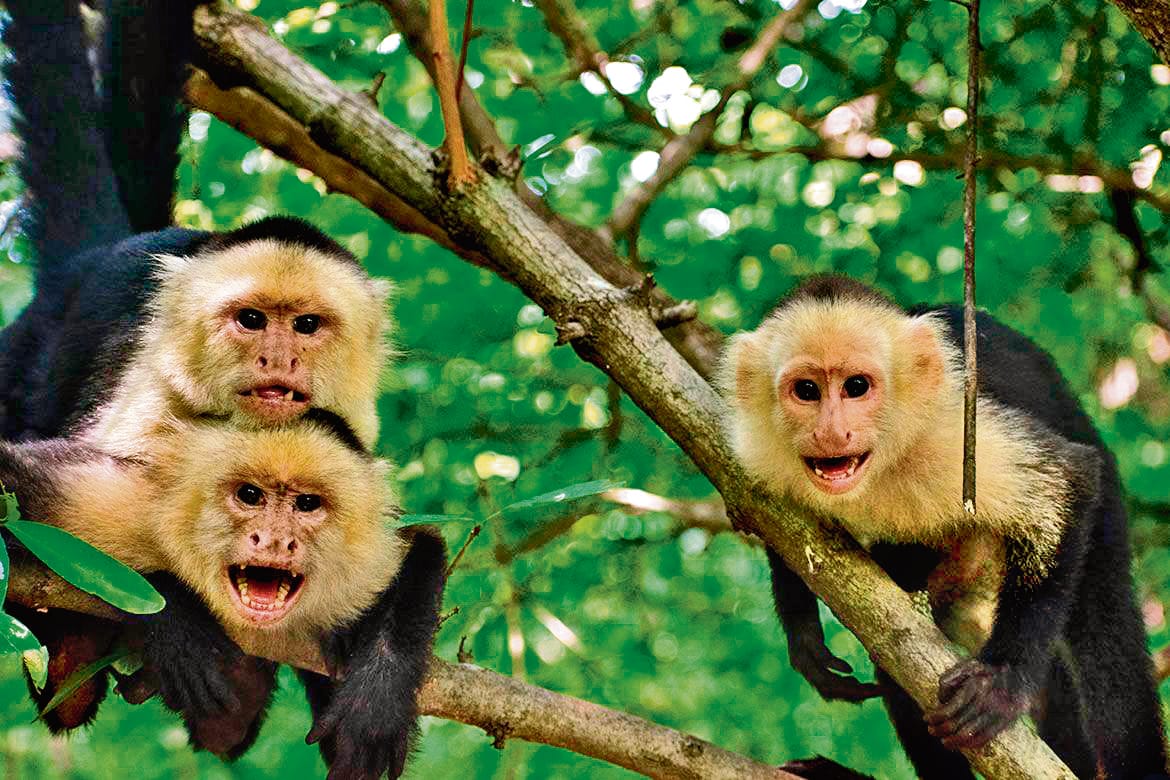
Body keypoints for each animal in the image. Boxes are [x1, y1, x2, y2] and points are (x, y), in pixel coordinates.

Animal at [0, 413, 447, 776]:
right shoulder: (113, 502)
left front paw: (377, 698)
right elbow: (12, 481)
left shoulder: (365, 559)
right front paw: (176, 619)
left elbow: (422, 546)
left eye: (307, 503)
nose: (274, 539)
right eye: (249, 495)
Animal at [721, 275, 1166, 779]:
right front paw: (803, 633)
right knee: (892, 634)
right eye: (807, 390)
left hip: (1103, 503)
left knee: (1105, 635)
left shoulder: (952, 431)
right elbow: (774, 521)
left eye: (856, 387)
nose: (832, 433)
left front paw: (1001, 682)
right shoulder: (759, 448)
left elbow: (1069, 481)